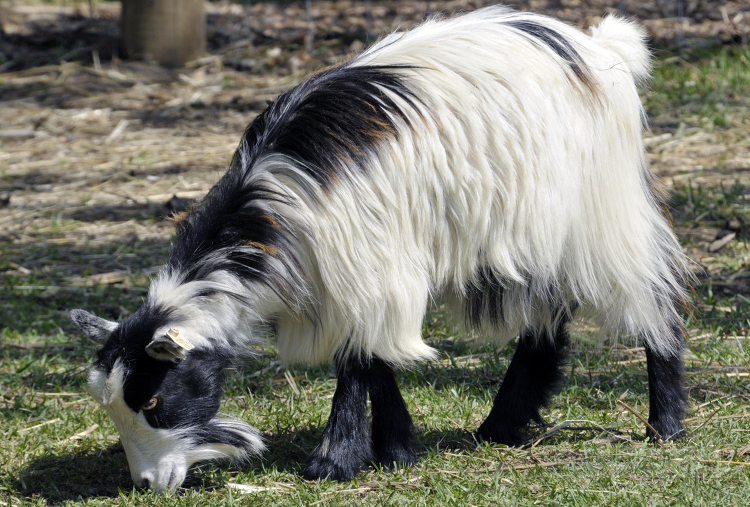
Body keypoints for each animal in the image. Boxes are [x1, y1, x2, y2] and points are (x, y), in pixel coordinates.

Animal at [70, 5, 692, 494]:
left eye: (154, 402)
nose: (147, 483)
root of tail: (598, 47)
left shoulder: (370, 265)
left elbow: (358, 359)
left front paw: (335, 459)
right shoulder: (350, 277)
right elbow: (374, 358)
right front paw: (394, 448)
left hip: (601, 210)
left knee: (653, 296)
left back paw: (665, 426)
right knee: (548, 317)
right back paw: (502, 425)